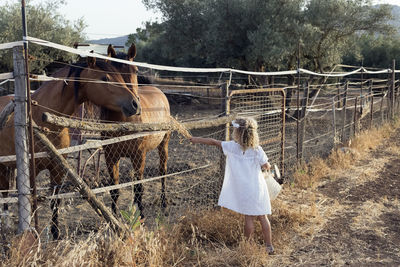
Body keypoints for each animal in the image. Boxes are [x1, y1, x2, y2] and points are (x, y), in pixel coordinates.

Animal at [0, 57, 141, 241]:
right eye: (105, 78)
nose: (135, 104)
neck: (41, 118)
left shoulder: (58, 168)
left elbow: (55, 200)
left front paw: (55, 233)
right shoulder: (31, 170)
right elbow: (31, 200)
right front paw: (32, 233)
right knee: (3, 191)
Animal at [101, 44, 171, 216]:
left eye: (136, 70)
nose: (133, 105)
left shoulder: (138, 156)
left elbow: (139, 188)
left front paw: (141, 216)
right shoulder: (110, 157)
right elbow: (115, 189)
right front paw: (114, 216)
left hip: (163, 145)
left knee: (163, 172)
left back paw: (164, 203)